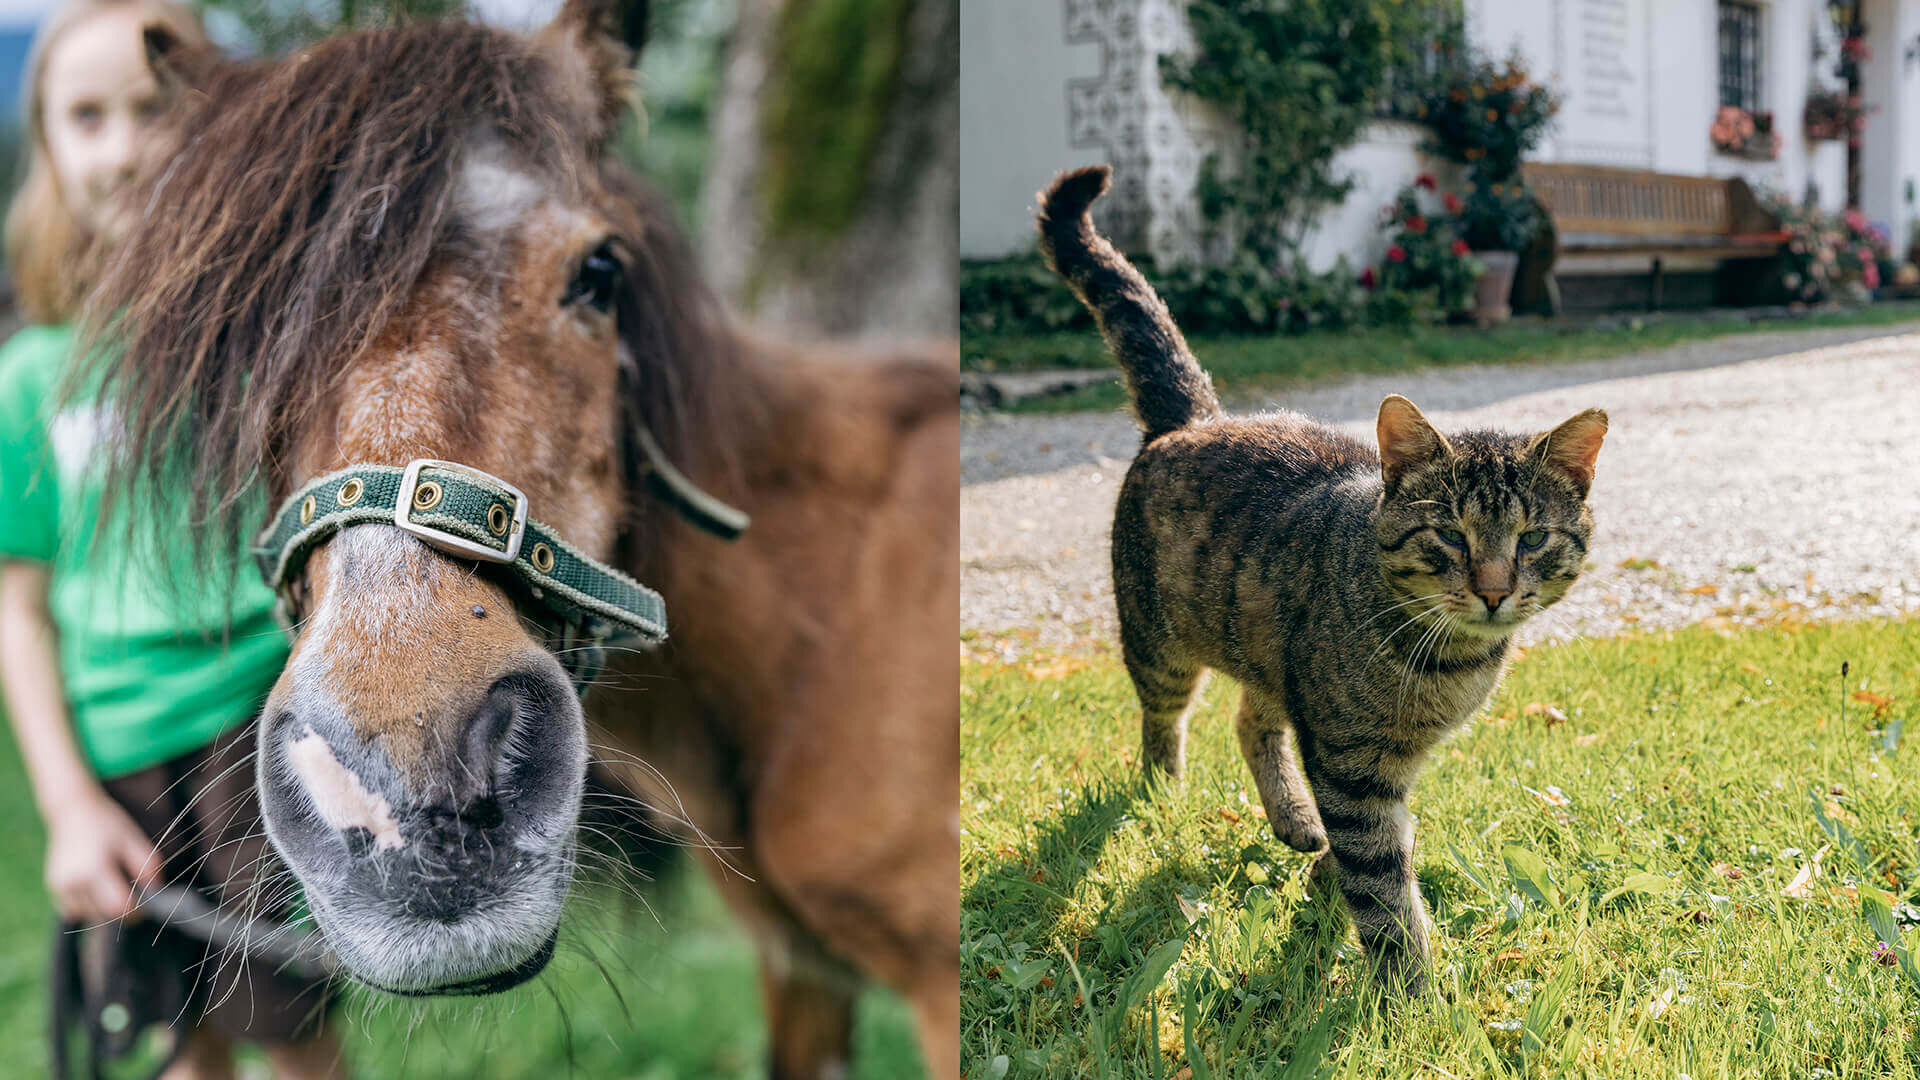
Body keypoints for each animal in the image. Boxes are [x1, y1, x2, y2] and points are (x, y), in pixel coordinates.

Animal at [1036, 166, 1605, 983]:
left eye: (1531, 539)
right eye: (1449, 535)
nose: (1494, 591)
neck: (1446, 665)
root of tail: (1194, 419)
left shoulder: (1381, 758)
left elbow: (1378, 849)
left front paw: (1326, 879)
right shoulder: (1350, 760)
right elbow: (1382, 884)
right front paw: (1411, 990)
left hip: (1270, 652)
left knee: (1252, 722)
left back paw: (1294, 822)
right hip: (1161, 646)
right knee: (1165, 722)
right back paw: (1162, 790)